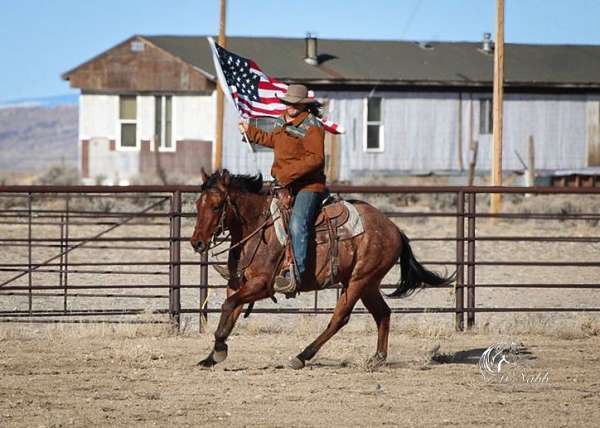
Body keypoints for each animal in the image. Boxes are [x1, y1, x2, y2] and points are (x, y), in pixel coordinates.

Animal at [192, 169, 454, 370]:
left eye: (216, 206)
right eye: (197, 204)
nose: (197, 243)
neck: (258, 227)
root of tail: (394, 229)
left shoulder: (262, 285)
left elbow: (228, 307)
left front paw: (219, 350)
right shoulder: (238, 284)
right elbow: (229, 313)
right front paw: (212, 356)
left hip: (359, 281)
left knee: (340, 318)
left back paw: (302, 356)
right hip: (368, 284)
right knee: (383, 313)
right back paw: (377, 358)